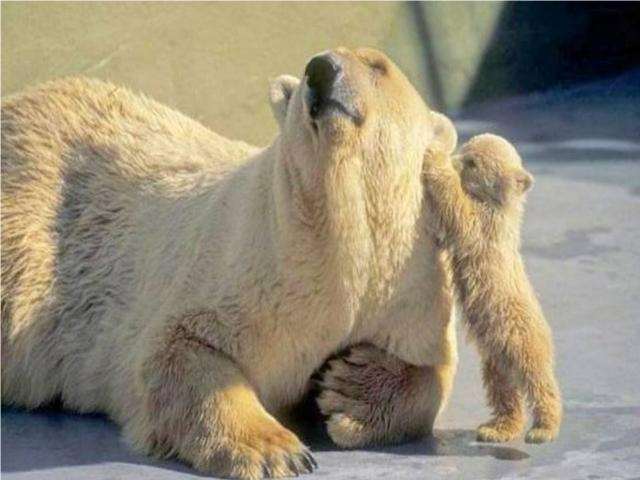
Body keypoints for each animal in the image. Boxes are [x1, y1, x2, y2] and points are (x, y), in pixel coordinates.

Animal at [2, 47, 458, 478]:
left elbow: (432, 372)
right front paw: (275, 450)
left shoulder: (409, 287)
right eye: (309, 65)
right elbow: (178, 347)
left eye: (377, 65)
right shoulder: (245, 267)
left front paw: (350, 389)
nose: (321, 69)